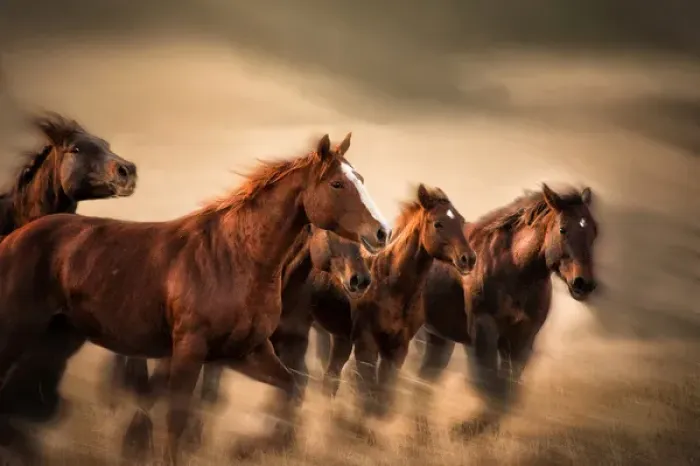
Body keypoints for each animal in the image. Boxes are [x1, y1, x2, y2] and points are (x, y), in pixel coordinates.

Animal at [114, 224, 372, 460]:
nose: (359, 281)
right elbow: (186, 388)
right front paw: (139, 441)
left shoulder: (291, 343)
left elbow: (292, 386)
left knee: (328, 377)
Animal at [409, 184, 599, 441]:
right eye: (563, 229)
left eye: (593, 231)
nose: (583, 283)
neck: (515, 271)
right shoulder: (483, 333)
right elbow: (490, 386)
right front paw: (463, 430)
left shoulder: (522, 340)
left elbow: (508, 393)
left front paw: (469, 430)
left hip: (438, 339)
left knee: (425, 379)